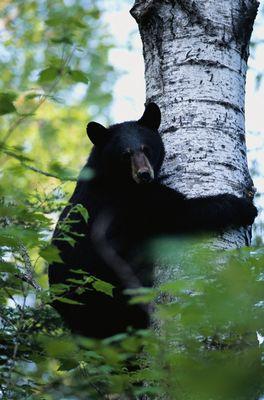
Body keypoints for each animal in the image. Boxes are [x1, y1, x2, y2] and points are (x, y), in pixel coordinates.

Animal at [48, 103, 256, 338]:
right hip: (104, 291)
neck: (116, 177)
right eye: (125, 154)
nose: (144, 174)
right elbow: (179, 213)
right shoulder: (132, 200)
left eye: (146, 148)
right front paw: (244, 207)